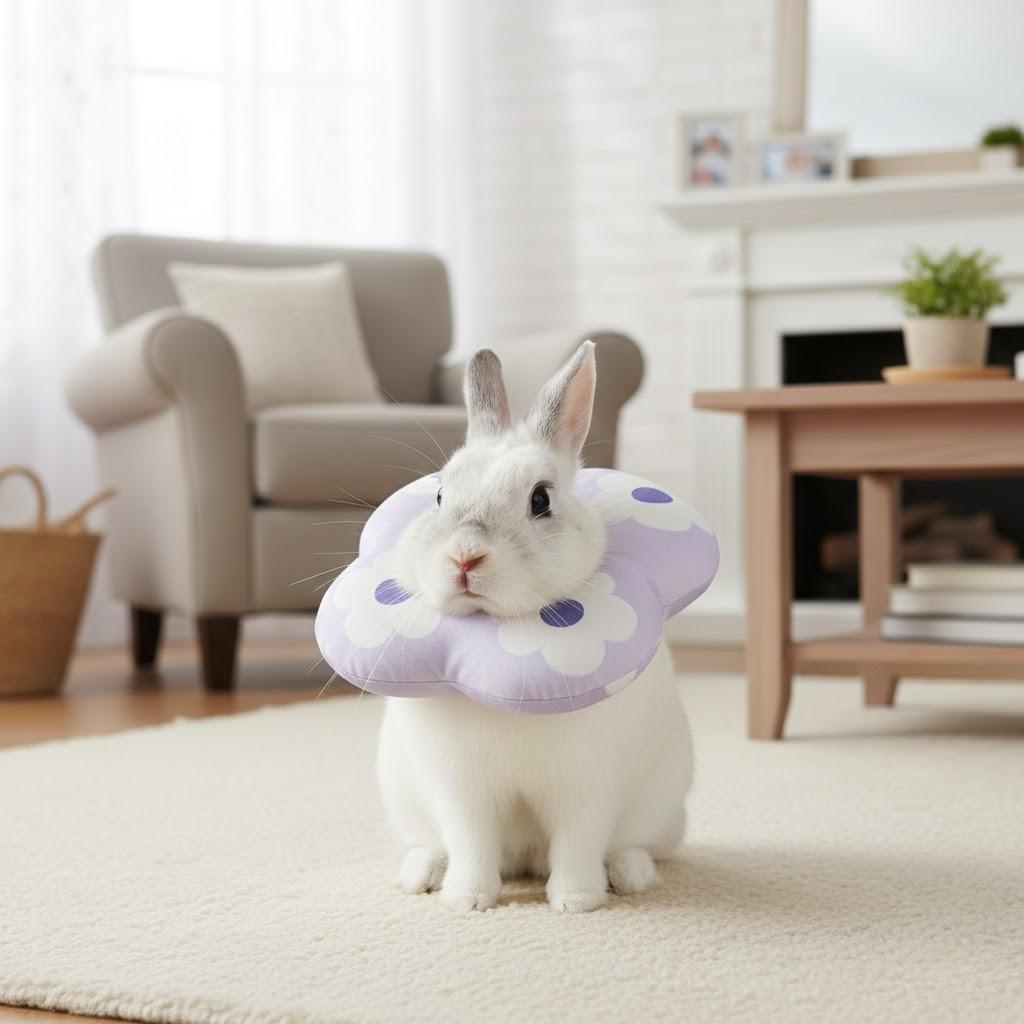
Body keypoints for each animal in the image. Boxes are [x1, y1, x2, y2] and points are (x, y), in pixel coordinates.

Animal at [376, 341, 694, 912]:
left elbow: (578, 840)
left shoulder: (586, 786)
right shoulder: (463, 791)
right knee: (435, 844)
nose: (464, 557)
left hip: (662, 807)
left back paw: (630, 874)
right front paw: (467, 901)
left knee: (635, 844)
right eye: (439, 496)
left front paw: (576, 902)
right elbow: (472, 843)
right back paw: (421, 873)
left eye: (540, 499)